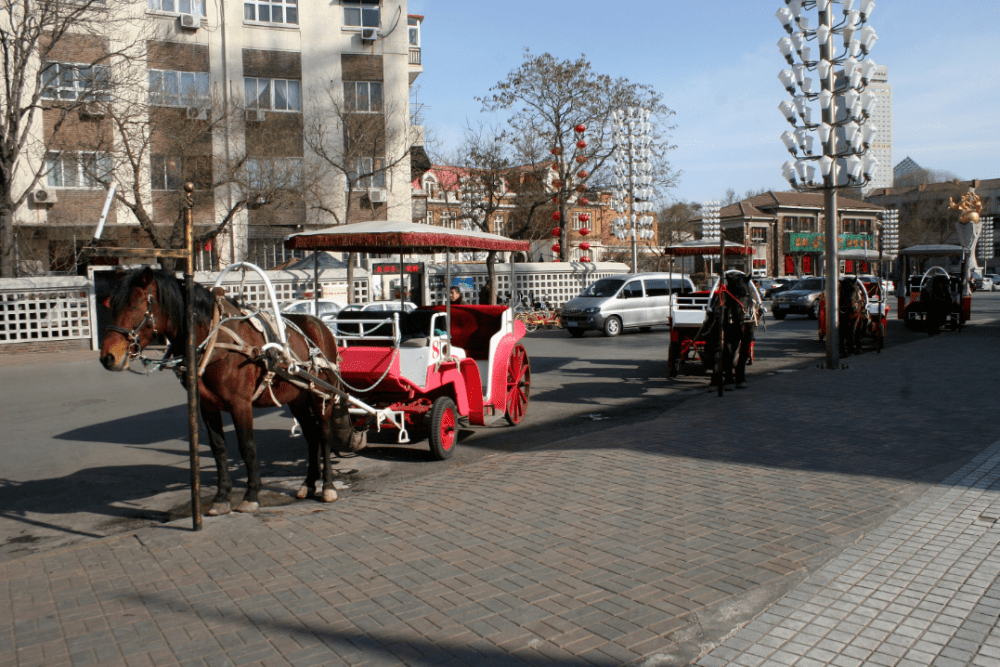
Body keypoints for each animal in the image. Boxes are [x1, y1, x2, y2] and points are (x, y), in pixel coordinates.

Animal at [101, 268, 352, 516]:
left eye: (136, 304)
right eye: (112, 305)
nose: (108, 356)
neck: (215, 341)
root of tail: (321, 326)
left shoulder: (240, 404)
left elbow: (247, 446)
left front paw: (251, 495)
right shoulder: (207, 406)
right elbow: (218, 448)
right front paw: (221, 497)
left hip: (321, 395)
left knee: (324, 435)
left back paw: (328, 486)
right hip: (297, 397)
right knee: (311, 436)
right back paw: (308, 484)